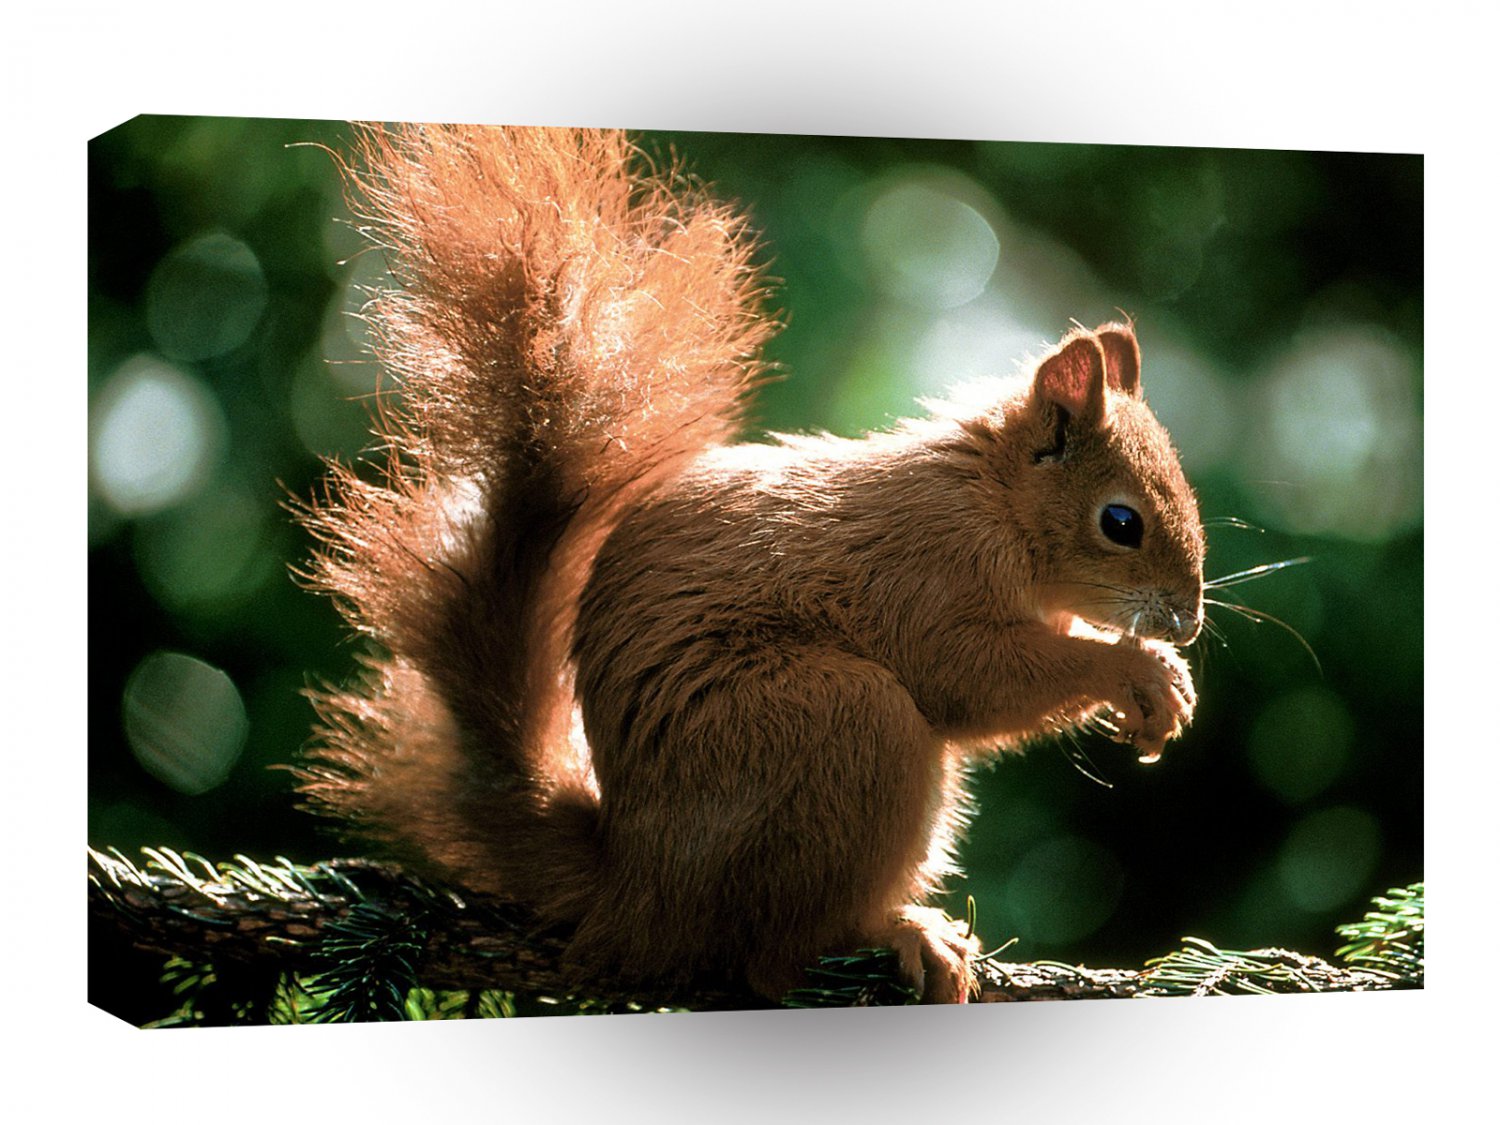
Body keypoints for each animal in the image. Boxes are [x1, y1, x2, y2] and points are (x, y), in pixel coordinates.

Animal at [296, 123, 1206, 1005]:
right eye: (1120, 522)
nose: (1190, 621)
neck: (994, 500)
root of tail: (638, 887)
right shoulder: (926, 570)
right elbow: (970, 676)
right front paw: (1140, 671)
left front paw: (1159, 689)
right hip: (834, 723)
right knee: (770, 956)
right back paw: (900, 931)